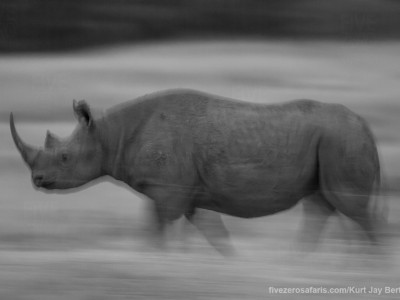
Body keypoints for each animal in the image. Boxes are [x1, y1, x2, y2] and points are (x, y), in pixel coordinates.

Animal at [10, 88, 384, 251]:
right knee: (321, 205)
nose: (37, 180)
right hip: (334, 142)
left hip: (341, 140)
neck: (109, 133)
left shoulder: (168, 191)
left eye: (64, 158)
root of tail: (367, 127)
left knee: (353, 209)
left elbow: (157, 230)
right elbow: (213, 235)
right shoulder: (185, 193)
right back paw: (300, 262)